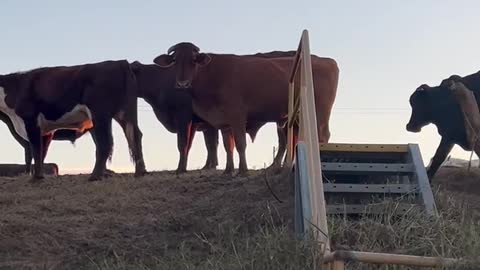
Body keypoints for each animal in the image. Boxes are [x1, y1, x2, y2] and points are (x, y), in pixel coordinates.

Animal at [0, 59, 146, 181]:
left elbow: (35, 151)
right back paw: (140, 172)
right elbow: (42, 153)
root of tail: (120, 62)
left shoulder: (31, 122)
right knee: (135, 136)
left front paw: (35, 178)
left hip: (100, 113)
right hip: (124, 113)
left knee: (105, 143)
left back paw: (94, 176)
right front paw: (39, 176)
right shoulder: (46, 131)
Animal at [153, 42, 338, 175]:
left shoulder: (237, 117)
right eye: (175, 61)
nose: (182, 83)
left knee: (322, 136)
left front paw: (243, 170)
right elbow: (228, 145)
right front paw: (228, 170)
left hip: (320, 113)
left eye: (193, 60)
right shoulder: (224, 122)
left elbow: (240, 144)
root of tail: (326, 60)